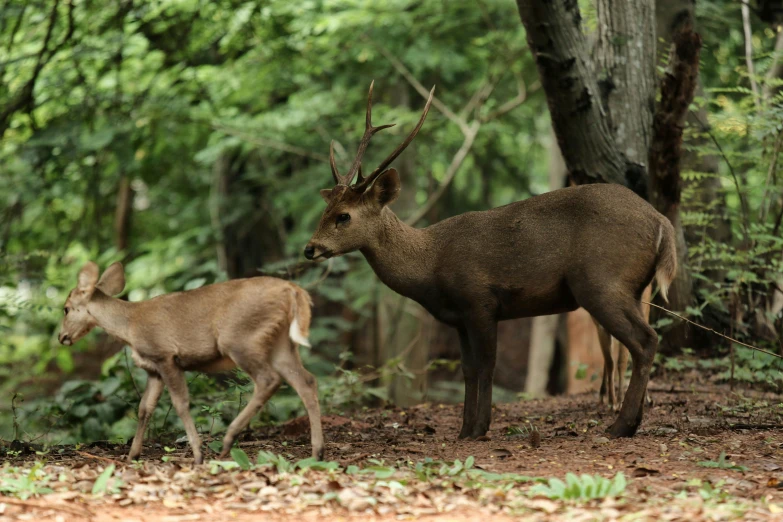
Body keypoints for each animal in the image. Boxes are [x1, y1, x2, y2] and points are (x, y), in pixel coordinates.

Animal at [56, 262, 324, 462]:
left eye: (66, 308)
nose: (61, 337)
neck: (129, 326)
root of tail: (292, 290)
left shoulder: (166, 355)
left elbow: (181, 403)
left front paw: (197, 454)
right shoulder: (153, 368)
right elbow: (144, 408)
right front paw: (132, 455)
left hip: (241, 338)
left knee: (269, 380)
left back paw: (228, 441)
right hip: (281, 344)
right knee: (307, 381)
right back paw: (317, 452)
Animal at [304, 82, 676, 438]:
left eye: (344, 216)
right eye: (325, 210)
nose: (310, 248)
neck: (430, 266)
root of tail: (661, 223)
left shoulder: (480, 299)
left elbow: (486, 364)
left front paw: (480, 428)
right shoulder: (459, 317)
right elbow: (468, 369)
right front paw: (465, 430)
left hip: (602, 280)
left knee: (645, 341)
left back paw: (620, 426)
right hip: (631, 287)